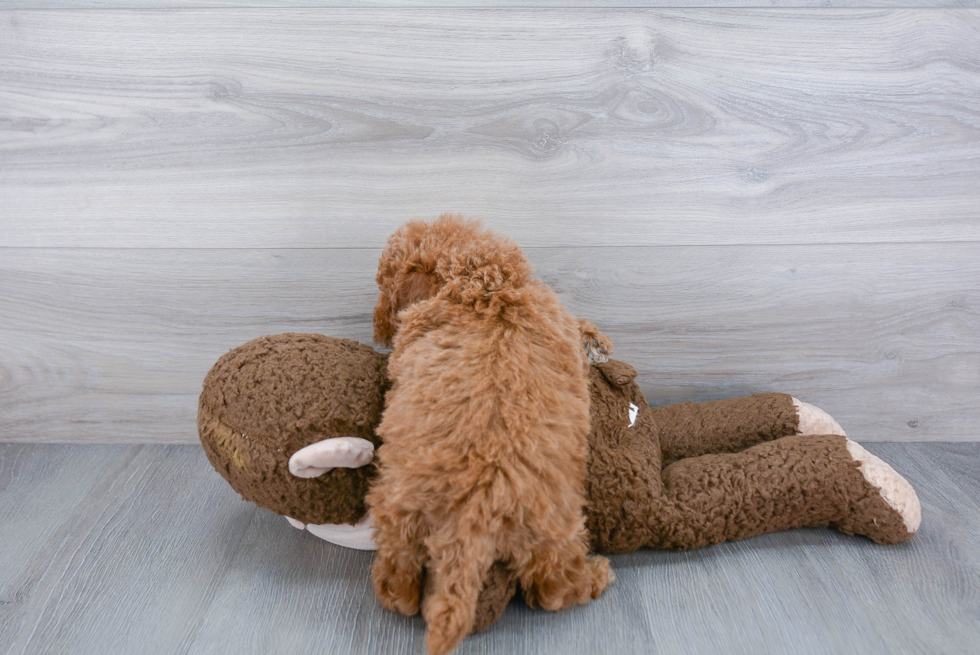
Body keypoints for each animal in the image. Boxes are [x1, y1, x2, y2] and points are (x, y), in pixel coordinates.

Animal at [370, 217, 612, 655]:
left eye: (384, 284)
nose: (378, 324)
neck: (485, 284)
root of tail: (475, 516)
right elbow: (575, 328)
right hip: (556, 532)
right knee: (554, 591)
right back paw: (596, 576)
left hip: (402, 516)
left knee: (398, 585)